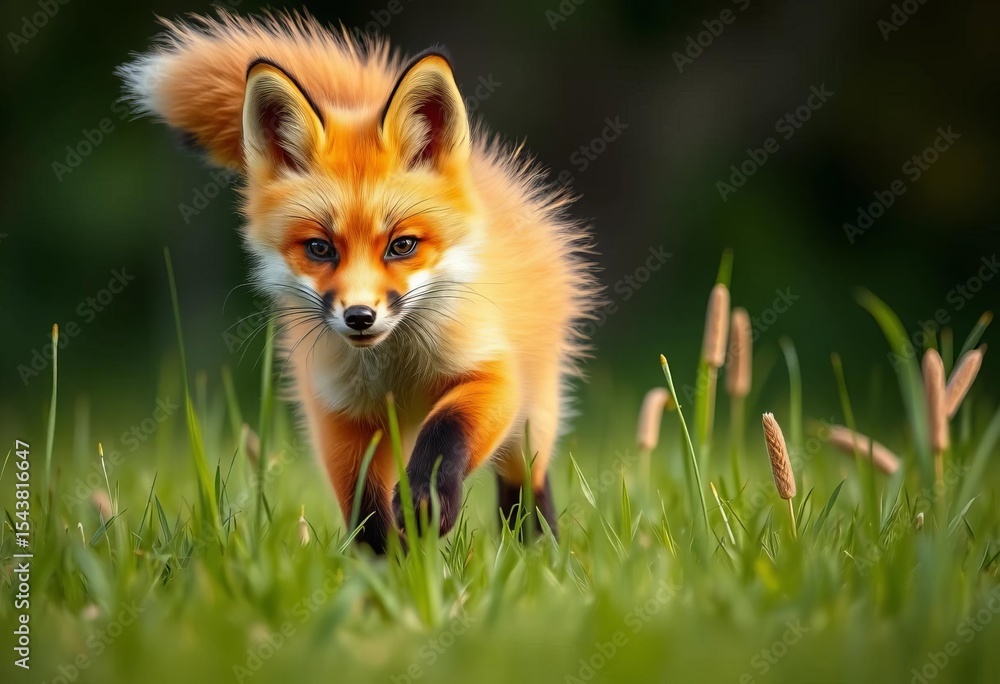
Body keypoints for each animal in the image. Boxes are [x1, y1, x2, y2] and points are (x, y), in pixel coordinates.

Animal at [119, 10, 600, 552]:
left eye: (402, 245)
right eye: (320, 249)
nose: (360, 316)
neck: (396, 371)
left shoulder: (491, 373)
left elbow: (446, 433)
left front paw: (428, 503)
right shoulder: (340, 417)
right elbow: (365, 508)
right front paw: (386, 569)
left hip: (535, 412)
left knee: (524, 482)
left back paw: (536, 551)